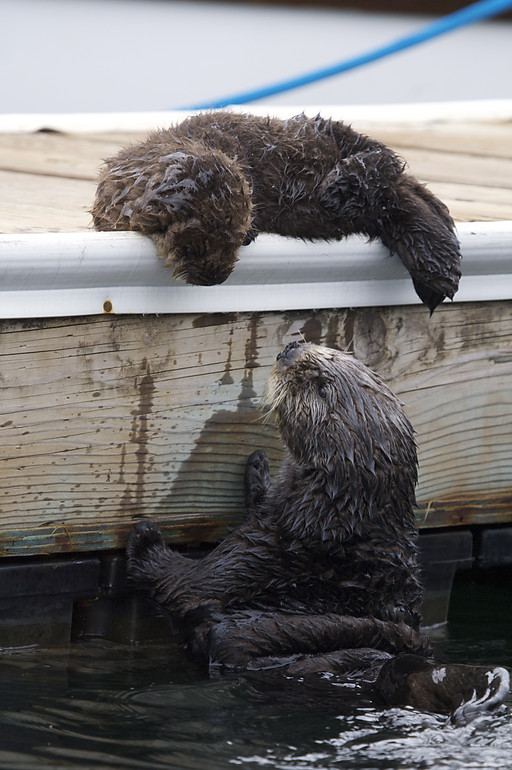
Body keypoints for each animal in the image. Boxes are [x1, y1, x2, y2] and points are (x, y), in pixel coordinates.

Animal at [92, 111, 461, 312]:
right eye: (190, 250)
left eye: (236, 240)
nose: (216, 280)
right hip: (374, 206)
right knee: (399, 201)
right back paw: (437, 267)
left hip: (334, 134)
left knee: (383, 159)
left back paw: (340, 188)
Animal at [126, 342, 509, 721]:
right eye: (336, 353)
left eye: (321, 387)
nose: (292, 348)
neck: (330, 520)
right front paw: (259, 466)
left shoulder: (259, 551)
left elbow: (182, 584)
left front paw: (146, 537)